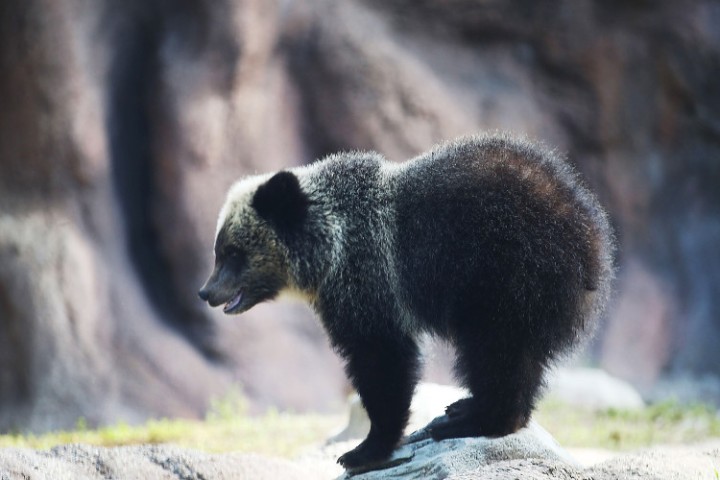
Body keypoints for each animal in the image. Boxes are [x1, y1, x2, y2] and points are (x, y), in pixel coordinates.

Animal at [195, 133, 612, 470]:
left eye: (233, 253)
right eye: (218, 250)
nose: (206, 292)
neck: (329, 249)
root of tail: (592, 243)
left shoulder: (369, 280)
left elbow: (382, 359)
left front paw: (363, 449)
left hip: (507, 277)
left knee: (495, 351)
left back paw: (471, 418)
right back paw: (466, 407)